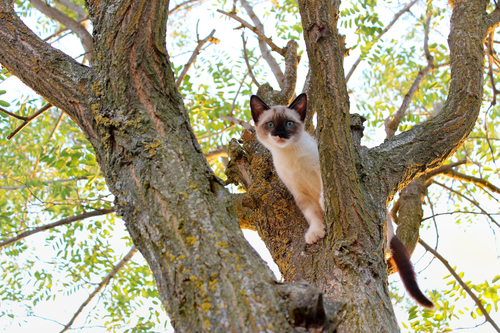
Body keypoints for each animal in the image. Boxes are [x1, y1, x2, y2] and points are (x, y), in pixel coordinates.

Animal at [249, 92, 434, 308]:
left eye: (288, 123)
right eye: (270, 125)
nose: (279, 134)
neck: (290, 156)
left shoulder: (322, 167)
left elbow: (325, 186)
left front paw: (324, 202)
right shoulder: (299, 193)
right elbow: (313, 214)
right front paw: (316, 232)